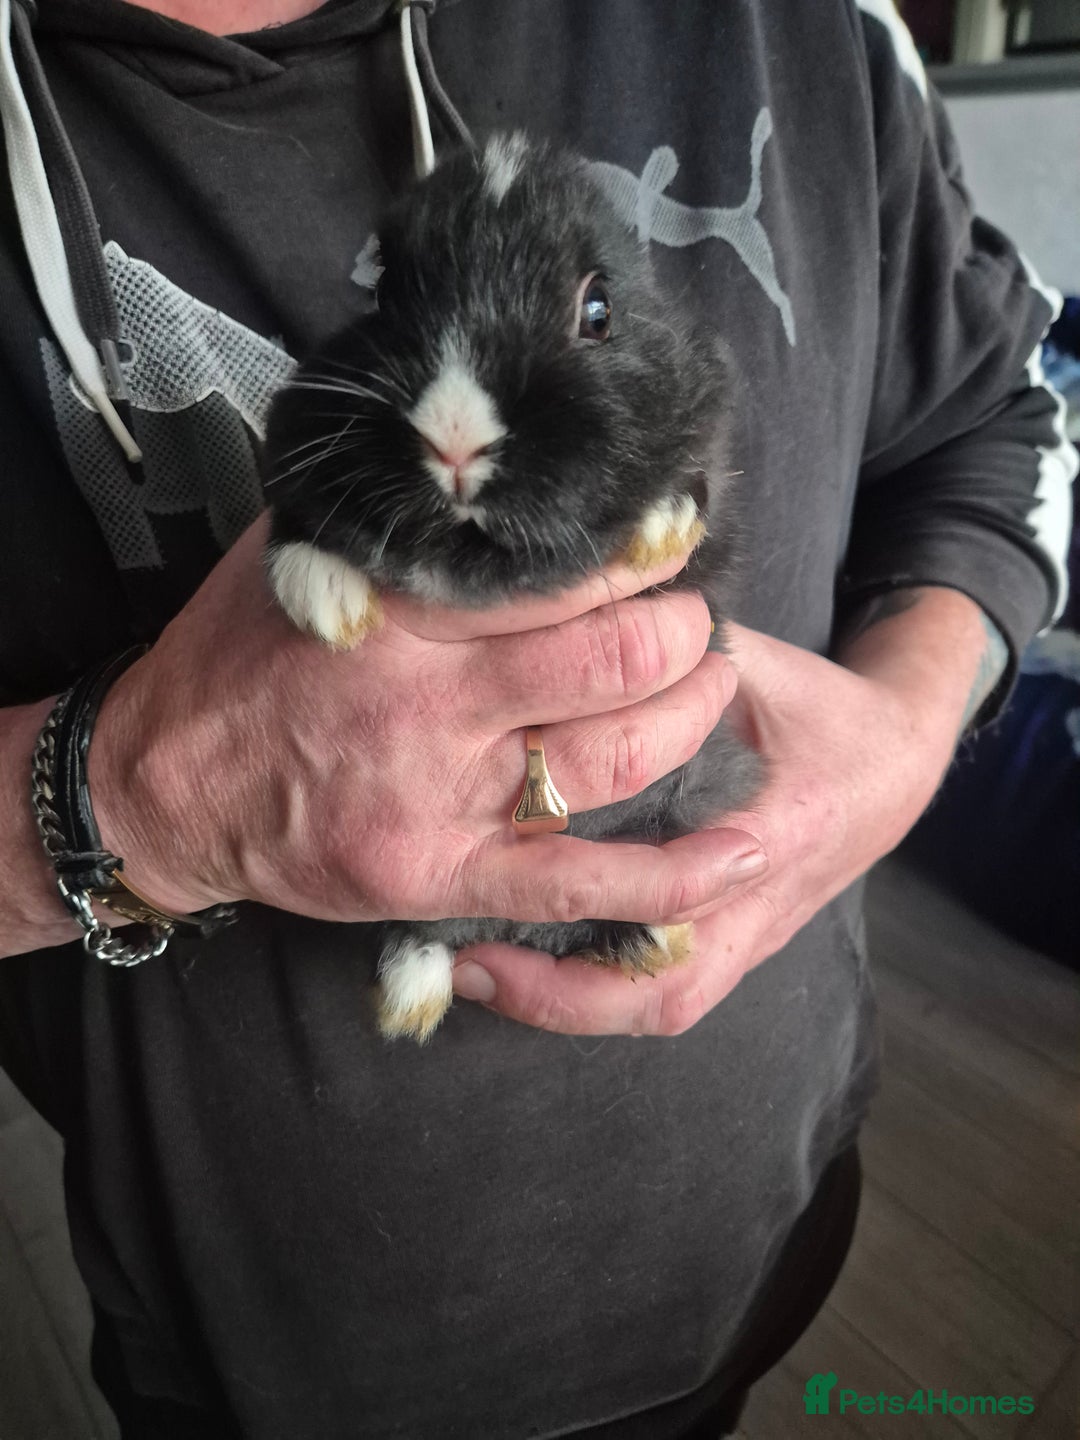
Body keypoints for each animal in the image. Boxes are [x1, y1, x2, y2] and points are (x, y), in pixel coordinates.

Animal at [262, 132, 763, 1043]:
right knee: (423, 934)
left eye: (599, 311)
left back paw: (646, 939)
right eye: (386, 294)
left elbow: (695, 501)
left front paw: (663, 523)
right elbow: (296, 522)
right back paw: (412, 992)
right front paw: (328, 603)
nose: (455, 439)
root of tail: (517, 927)